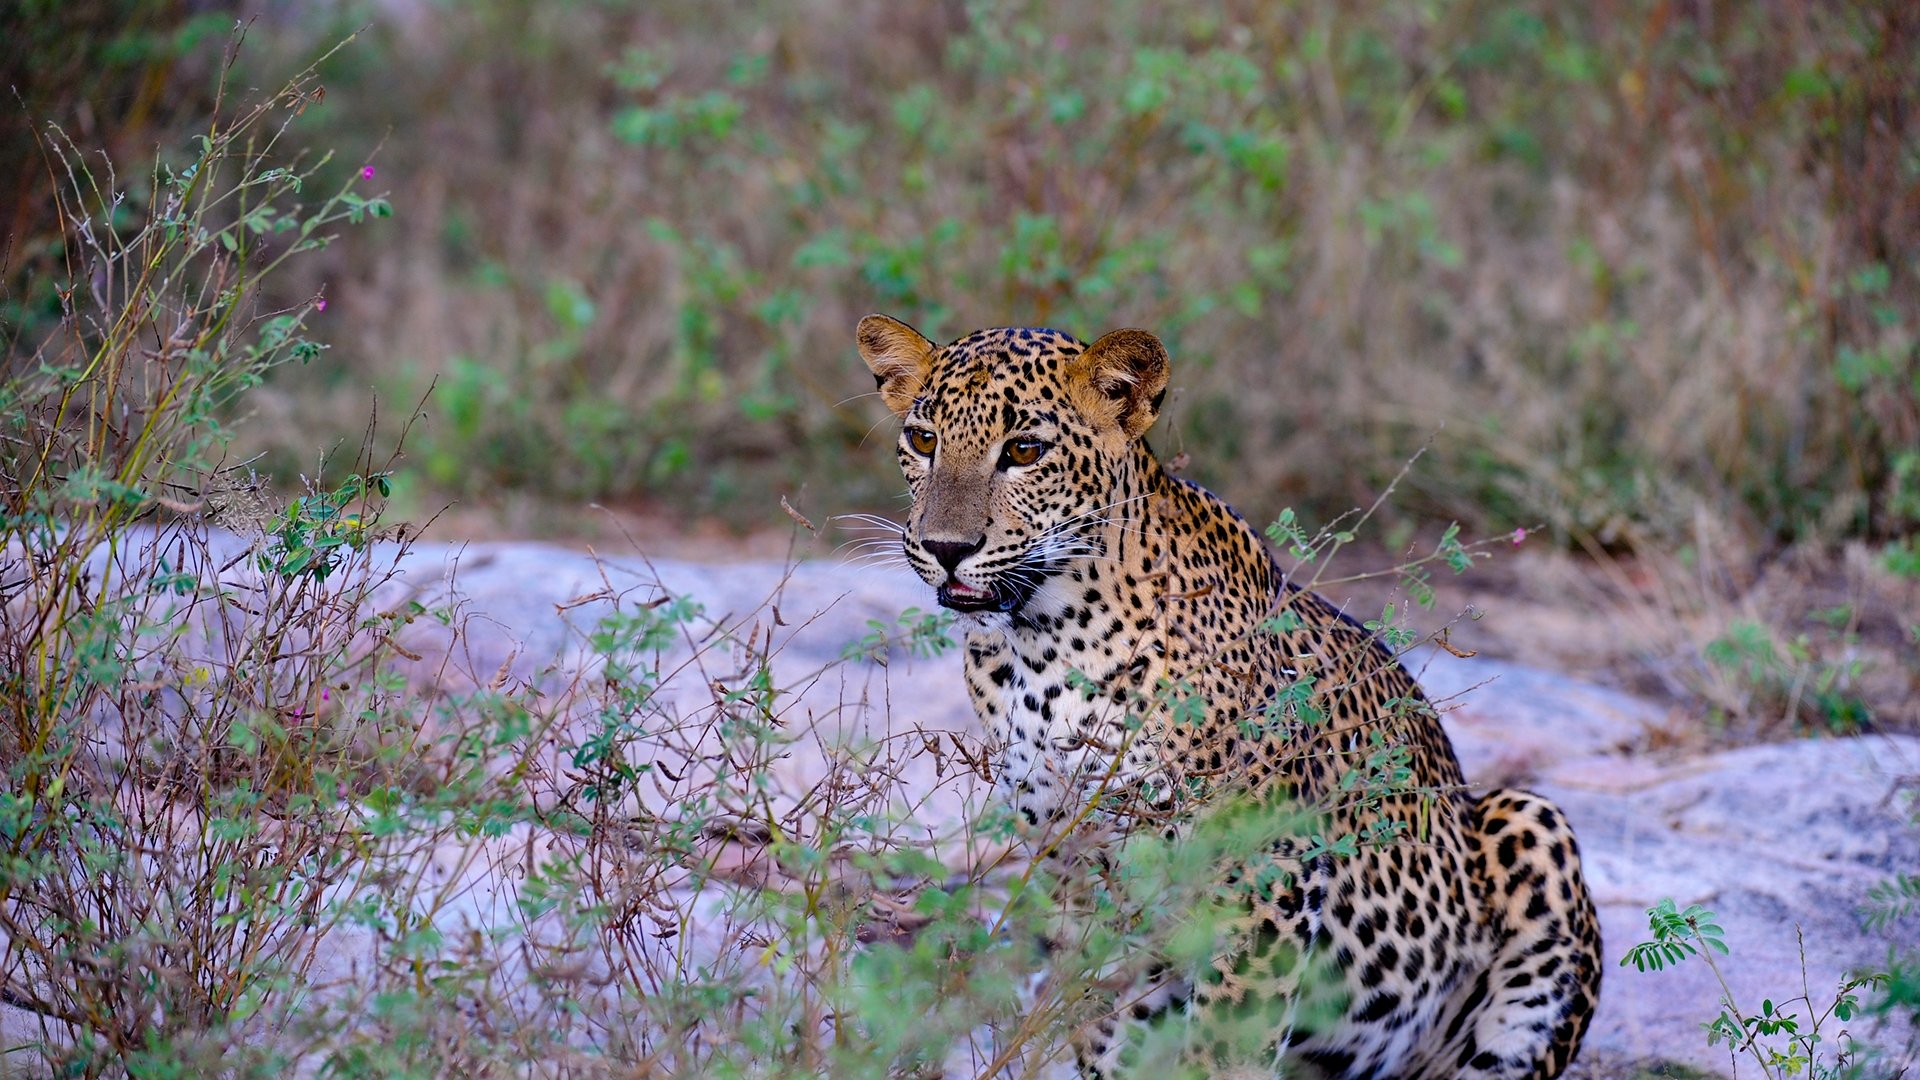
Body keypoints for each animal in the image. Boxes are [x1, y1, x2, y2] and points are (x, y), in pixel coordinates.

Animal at [855, 314, 1601, 1079]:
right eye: (923, 440)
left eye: (1024, 451)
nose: (945, 548)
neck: (1042, 643)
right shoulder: (1074, 861)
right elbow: (1104, 1014)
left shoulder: (1259, 867)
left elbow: (1228, 1035)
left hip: (1532, 827)